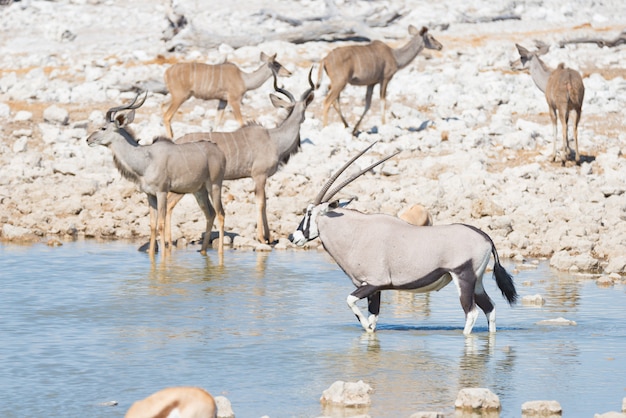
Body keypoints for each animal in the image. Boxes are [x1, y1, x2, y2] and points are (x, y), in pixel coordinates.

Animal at [86, 92, 224, 258]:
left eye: (103, 127)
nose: (88, 139)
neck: (146, 159)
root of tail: (219, 151)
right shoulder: (150, 195)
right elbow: (152, 225)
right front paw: (152, 254)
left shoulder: (162, 192)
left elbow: (161, 224)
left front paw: (164, 257)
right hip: (199, 191)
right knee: (210, 214)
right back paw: (203, 250)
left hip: (215, 186)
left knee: (221, 214)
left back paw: (221, 253)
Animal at [165, 51, 294, 137]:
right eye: (277, 64)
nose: (289, 73)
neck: (244, 79)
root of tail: (167, 71)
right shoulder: (234, 100)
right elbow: (241, 122)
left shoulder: (223, 101)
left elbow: (216, 122)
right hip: (180, 96)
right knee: (167, 115)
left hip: (177, 96)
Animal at [165, 68, 314, 245]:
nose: (304, 117)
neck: (274, 139)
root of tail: (175, 143)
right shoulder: (259, 176)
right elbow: (261, 203)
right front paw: (262, 238)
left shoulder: (260, 178)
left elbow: (265, 203)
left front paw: (270, 237)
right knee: (168, 204)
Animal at [290, 142, 516, 334]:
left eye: (308, 212)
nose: (293, 237)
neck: (356, 232)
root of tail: (485, 237)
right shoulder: (374, 288)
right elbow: (373, 320)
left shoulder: (373, 283)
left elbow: (350, 302)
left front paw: (363, 324)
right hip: (477, 282)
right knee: (490, 309)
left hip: (463, 278)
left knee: (472, 313)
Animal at [314, 24, 442, 135]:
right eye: (431, 37)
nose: (440, 46)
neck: (395, 56)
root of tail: (325, 59)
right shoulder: (385, 79)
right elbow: (383, 101)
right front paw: (384, 124)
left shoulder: (371, 83)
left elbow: (368, 104)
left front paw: (355, 129)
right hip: (340, 83)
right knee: (327, 101)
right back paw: (325, 127)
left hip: (337, 83)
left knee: (334, 99)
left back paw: (346, 125)